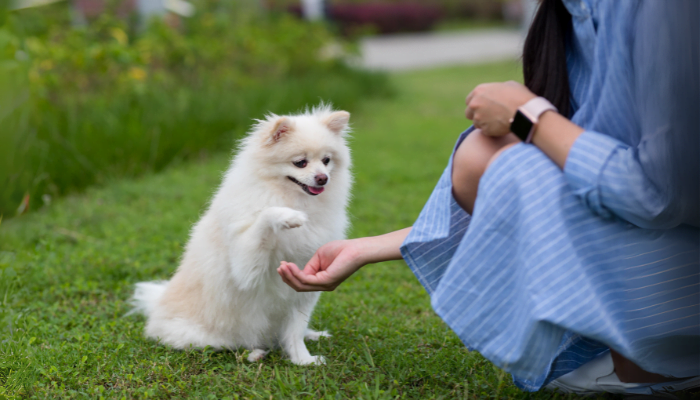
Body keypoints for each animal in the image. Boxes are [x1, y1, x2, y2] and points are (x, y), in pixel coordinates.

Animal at [129, 104, 352, 366]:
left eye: (326, 160)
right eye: (300, 163)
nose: (322, 178)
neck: (292, 197)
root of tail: (156, 306)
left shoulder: (303, 287)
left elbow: (295, 330)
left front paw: (303, 360)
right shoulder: (245, 267)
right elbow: (265, 215)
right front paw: (288, 216)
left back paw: (312, 334)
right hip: (205, 336)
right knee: (226, 345)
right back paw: (254, 352)